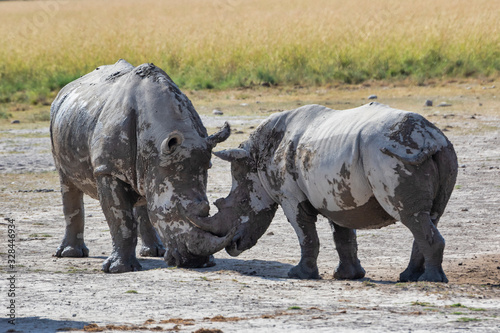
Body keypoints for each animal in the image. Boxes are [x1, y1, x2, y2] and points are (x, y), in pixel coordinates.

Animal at [48, 59, 232, 272]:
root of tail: (66, 88)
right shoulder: (108, 170)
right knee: (67, 182)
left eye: (208, 210)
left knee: (144, 189)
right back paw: (70, 254)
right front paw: (118, 269)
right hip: (58, 122)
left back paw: (155, 252)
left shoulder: (162, 161)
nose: (195, 262)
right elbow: (121, 220)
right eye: (167, 214)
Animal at [191, 102, 458, 282]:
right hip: (444, 152)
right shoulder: (337, 194)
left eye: (242, 203)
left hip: (390, 157)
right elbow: (343, 235)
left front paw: (299, 274)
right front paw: (348, 276)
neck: (255, 158)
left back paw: (429, 280)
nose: (231, 246)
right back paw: (409, 277)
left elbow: (305, 232)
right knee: (429, 216)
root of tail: (431, 138)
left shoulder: (290, 196)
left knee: (411, 216)